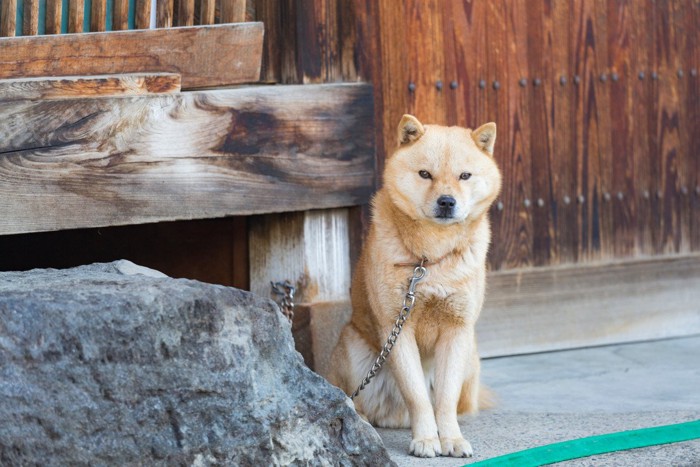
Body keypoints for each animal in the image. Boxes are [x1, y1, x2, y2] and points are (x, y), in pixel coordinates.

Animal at [330, 115, 500, 458]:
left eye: (464, 176)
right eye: (425, 174)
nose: (446, 201)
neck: (429, 258)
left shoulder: (456, 329)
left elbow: (444, 399)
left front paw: (451, 439)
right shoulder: (396, 328)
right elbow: (418, 396)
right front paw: (425, 440)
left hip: (470, 354)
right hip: (354, 350)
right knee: (358, 401)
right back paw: (359, 418)